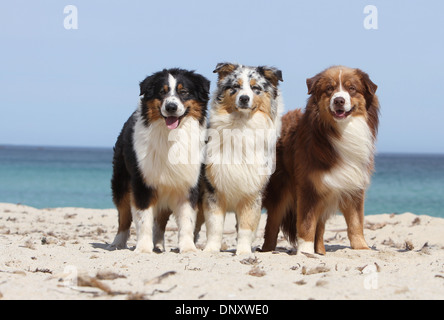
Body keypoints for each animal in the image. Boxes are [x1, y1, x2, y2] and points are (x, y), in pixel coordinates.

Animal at [262, 65, 380, 255]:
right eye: (329, 89)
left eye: (352, 89)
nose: (339, 100)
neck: (341, 131)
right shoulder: (308, 186)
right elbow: (306, 223)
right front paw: (305, 251)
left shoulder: (353, 186)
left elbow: (356, 222)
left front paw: (362, 248)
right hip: (279, 190)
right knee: (272, 225)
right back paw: (267, 250)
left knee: (321, 226)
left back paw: (320, 251)